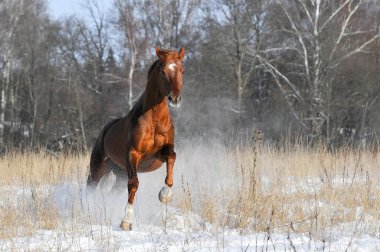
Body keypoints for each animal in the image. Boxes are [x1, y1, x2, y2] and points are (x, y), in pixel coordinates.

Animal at [87, 46, 186, 230]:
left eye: (182, 70)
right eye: (163, 71)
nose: (174, 99)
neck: (153, 120)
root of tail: (105, 129)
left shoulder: (160, 153)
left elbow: (172, 158)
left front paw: (165, 195)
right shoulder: (133, 154)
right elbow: (134, 184)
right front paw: (126, 221)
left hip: (119, 172)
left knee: (113, 190)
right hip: (99, 166)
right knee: (91, 185)